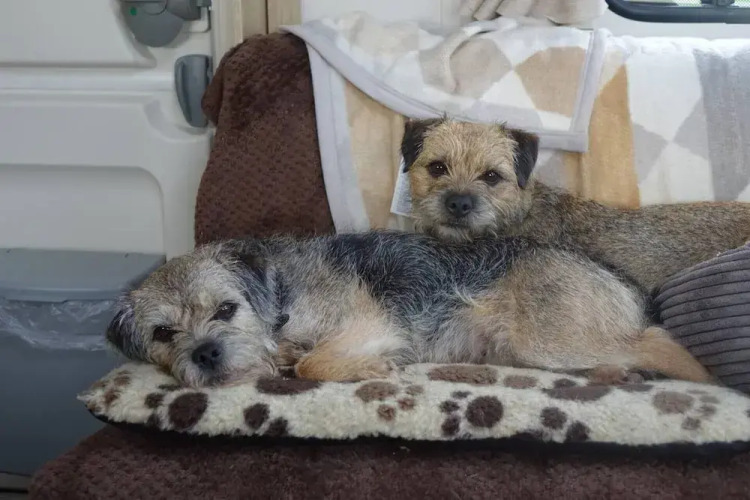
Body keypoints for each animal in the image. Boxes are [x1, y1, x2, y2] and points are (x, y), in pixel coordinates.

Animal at [106, 231, 710, 388]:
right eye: (163, 333)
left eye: (227, 310)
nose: (206, 354)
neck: (280, 299)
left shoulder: (367, 324)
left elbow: (312, 363)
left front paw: (372, 367)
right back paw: (615, 373)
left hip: (548, 338)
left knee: (660, 341)